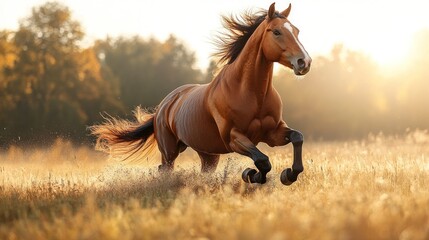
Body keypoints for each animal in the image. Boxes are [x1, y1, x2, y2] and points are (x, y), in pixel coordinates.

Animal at [90, 1, 310, 185]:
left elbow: (297, 137)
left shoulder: (272, 133)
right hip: (170, 149)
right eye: (276, 32)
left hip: (208, 153)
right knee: (165, 168)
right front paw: (251, 175)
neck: (251, 93)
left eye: (297, 31)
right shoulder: (234, 138)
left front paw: (289, 175)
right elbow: (263, 161)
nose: (304, 62)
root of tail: (164, 105)